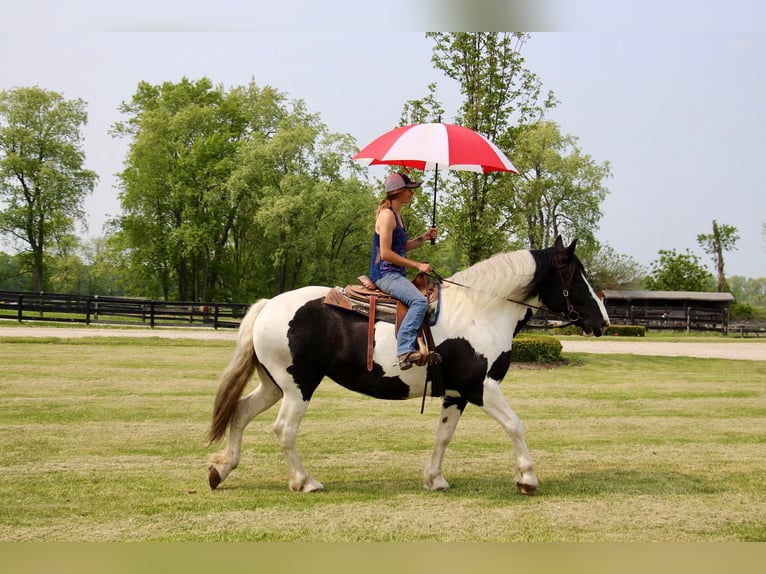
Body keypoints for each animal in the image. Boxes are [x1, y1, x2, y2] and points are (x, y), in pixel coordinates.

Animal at [207, 236, 608, 498]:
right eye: (576, 275)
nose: (602, 320)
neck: (480, 311)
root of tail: (268, 305)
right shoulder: (482, 387)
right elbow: (515, 426)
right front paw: (527, 478)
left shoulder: (456, 393)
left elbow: (443, 435)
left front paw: (434, 479)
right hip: (298, 387)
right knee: (284, 430)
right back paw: (305, 482)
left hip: (274, 385)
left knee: (240, 413)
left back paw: (220, 469)